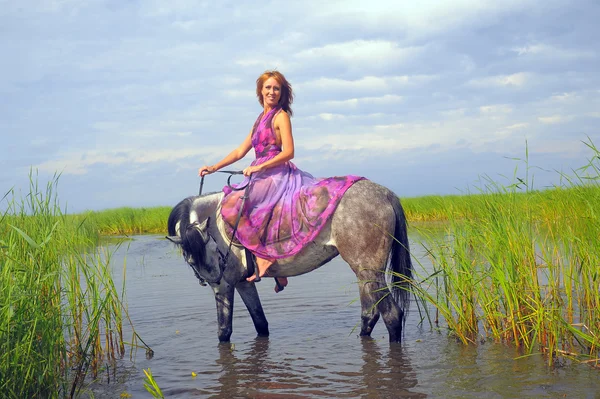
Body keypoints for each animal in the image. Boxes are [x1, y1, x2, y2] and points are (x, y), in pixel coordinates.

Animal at [166, 179, 414, 344]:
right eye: (190, 259)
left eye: (211, 247)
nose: (215, 279)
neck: (219, 220)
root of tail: (385, 194)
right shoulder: (243, 283)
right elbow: (261, 323)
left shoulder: (227, 286)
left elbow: (224, 331)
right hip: (364, 273)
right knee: (369, 315)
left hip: (370, 271)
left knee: (392, 316)